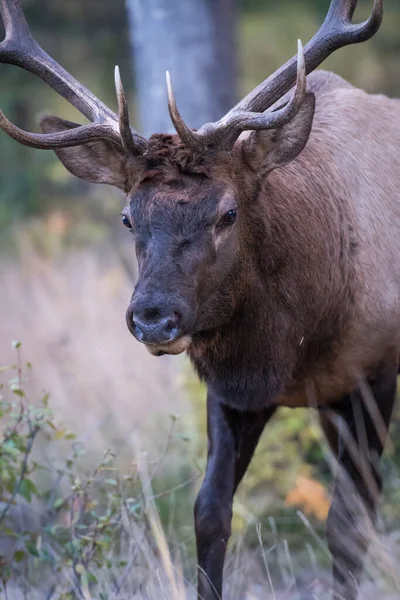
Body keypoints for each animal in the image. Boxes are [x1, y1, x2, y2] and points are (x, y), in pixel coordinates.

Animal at [0, 0, 396, 596]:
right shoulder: (234, 390)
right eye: (128, 216)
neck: (303, 336)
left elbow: (349, 528)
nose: (153, 318)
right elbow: (210, 512)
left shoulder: (375, 374)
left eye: (228, 212)